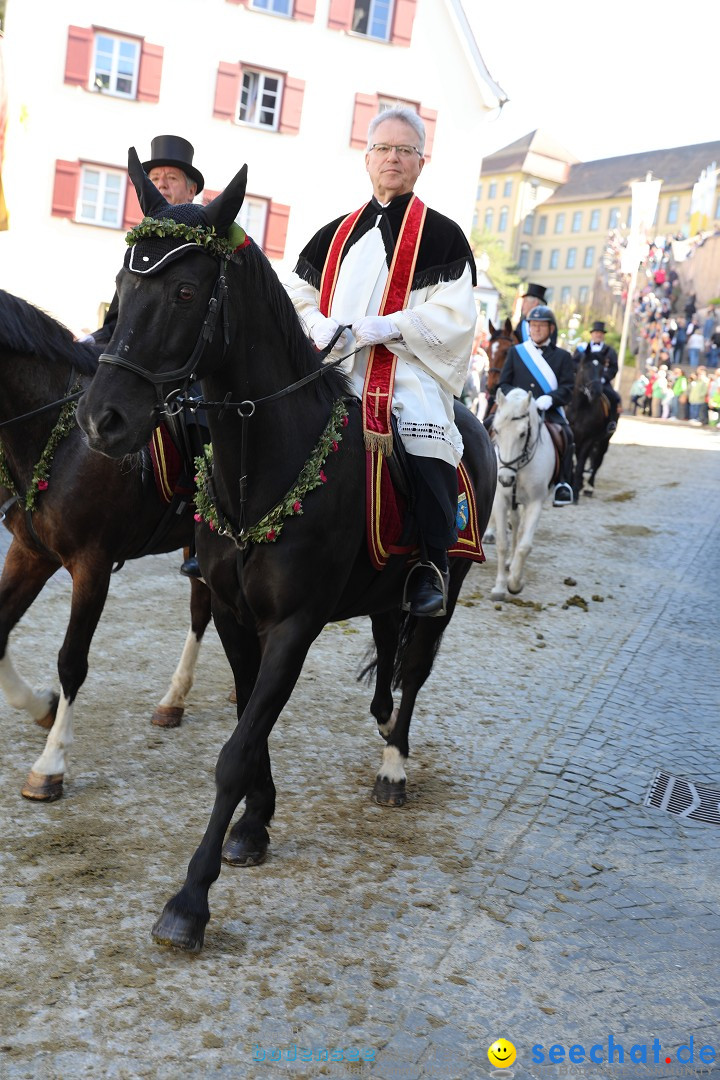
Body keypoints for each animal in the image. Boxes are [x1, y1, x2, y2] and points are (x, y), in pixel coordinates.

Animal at [0, 287, 212, 803]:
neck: (59, 436)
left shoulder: (90, 565)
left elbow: (72, 661)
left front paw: (50, 765)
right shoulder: (30, 554)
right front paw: (41, 707)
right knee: (202, 609)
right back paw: (175, 701)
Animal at [76, 147, 498, 950]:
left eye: (185, 290)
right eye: (120, 284)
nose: (101, 419)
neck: (264, 462)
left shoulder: (295, 626)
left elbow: (237, 749)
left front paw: (191, 898)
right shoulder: (236, 614)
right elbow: (249, 718)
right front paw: (256, 824)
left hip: (447, 590)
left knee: (414, 672)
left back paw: (394, 767)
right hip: (383, 595)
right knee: (389, 661)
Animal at [490, 384, 557, 600]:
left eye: (522, 434)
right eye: (496, 430)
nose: (505, 479)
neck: (518, 466)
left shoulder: (535, 502)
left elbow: (525, 546)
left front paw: (514, 583)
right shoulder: (500, 500)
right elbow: (502, 543)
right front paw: (499, 587)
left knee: (520, 531)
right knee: (516, 525)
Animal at [569, 349, 613, 496]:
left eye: (602, 368)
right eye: (585, 367)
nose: (596, 392)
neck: (579, 408)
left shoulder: (588, 439)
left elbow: (581, 463)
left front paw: (575, 490)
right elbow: (574, 462)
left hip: (604, 441)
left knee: (597, 462)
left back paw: (588, 487)